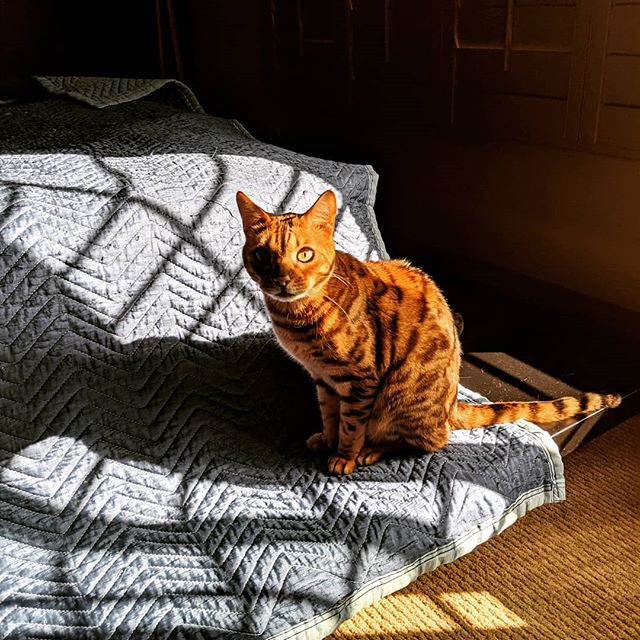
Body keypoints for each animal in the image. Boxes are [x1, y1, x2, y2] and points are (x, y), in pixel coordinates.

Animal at [235, 190, 620, 476]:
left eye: (304, 254)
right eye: (262, 255)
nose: (281, 279)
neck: (299, 317)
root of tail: (451, 405)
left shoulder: (360, 380)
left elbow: (350, 425)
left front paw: (344, 455)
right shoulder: (324, 379)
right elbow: (329, 415)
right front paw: (326, 440)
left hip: (399, 394)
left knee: (431, 440)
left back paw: (372, 450)